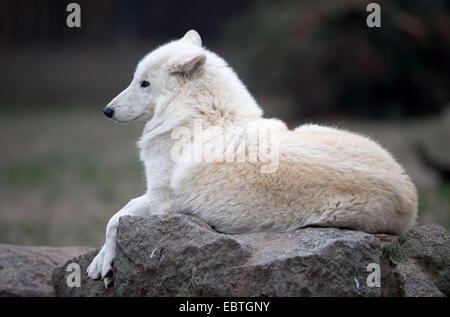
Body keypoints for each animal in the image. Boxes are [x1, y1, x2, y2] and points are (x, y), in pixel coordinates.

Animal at [87, 30, 418, 286]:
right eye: (135, 79)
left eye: (144, 83)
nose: (106, 110)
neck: (198, 117)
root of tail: (412, 198)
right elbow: (118, 215)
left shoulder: (162, 201)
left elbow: (116, 217)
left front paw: (101, 264)